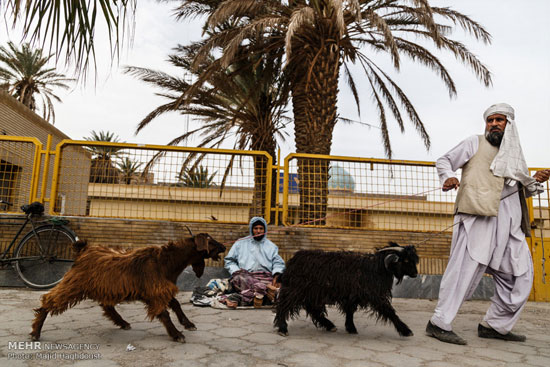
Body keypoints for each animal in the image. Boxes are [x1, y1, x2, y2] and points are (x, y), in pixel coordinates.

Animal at [30, 234, 226, 344]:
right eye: (209, 240)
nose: (224, 246)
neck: (166, 261)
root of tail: (83, 250)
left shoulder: (161, 290)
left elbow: (176, 304)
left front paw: (187, 323)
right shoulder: (156, 291)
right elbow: (164, 313)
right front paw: (176, 334)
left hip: (104, 287)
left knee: (107, 305)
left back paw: (122, 322)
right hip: (74, 284)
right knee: (49, 300)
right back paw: (35, 331)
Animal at [274, 243, 420, 338]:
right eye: (406, 260)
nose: (415, 274)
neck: (377, 267)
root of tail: (292, 262)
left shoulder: (352, 295)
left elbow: (350, 312)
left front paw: (351, 328)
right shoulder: (375, 296)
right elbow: (390, 312)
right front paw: (406, 330)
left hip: (312, 293)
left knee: (312, 309)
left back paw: (329, 325)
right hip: (295, 289)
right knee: (283, 305)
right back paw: (282, 328)